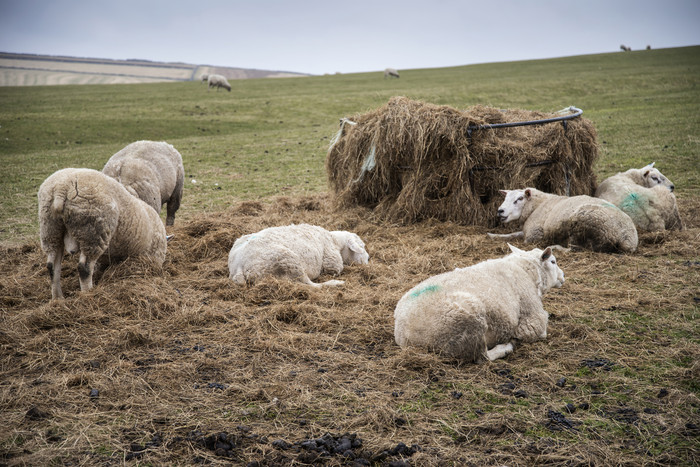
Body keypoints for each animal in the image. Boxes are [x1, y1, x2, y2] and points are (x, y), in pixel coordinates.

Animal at [38, 168, 168, 300]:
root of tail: (62, 189)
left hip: (50, 229)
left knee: (52, 266)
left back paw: (58, 298)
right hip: (93, 232)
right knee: (84, 268)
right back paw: (88, 293)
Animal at [230, 224, 372, 288]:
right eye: (362, 246)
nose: (368, 260)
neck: (334, 240)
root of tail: (238, 266)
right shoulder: (332, 263)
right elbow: (339, 268)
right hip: (289, 261)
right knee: (311, 285)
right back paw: (336, 283)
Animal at [394, 243, 564, 364]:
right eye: (553, 261)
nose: (563, 276)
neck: (525, 271)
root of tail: (404, 335)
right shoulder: (532, 320)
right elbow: (540, 331)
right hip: (468, 325)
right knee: (482, 358)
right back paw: (505, 348)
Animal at [490, 186, 636, 254]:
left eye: (519, 199)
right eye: (505, 197)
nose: (500, 211)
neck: (537, 205)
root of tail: (627, 237)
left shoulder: (535, 234)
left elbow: (521, 239)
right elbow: (513, 234)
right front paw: (493, 235)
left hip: (583, 226)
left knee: (574, 249)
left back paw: (553, 247)